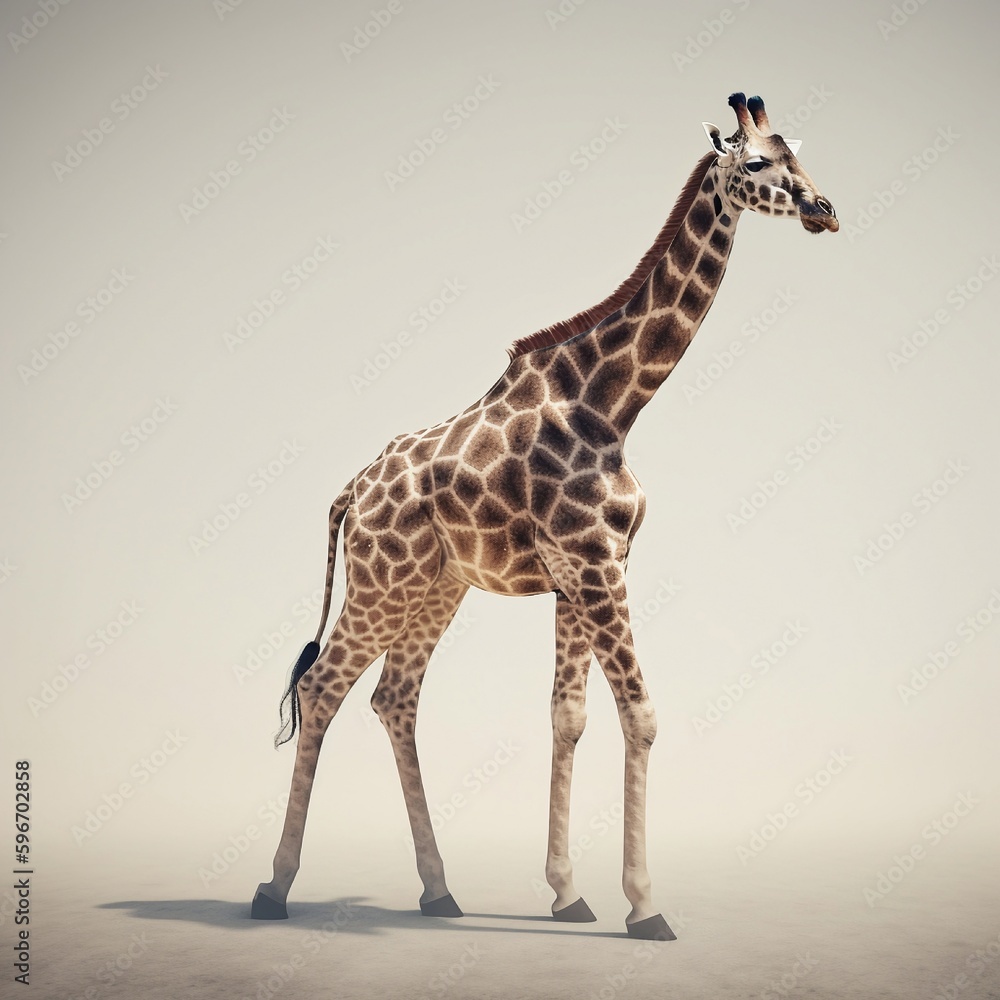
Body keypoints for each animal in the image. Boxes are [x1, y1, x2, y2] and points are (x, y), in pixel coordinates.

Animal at [251, 92, 838, 940]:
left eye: (800, 154)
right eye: (757, 162)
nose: (826, 211)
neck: (613, 403)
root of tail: (350, 493)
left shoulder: (586, 571)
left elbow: (569, 715)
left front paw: (568, 894)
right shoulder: (592, 564)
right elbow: (640, 713)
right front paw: (646, 906)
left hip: (436, 588)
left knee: (394, 697)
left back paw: (439, 890)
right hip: (379, 584)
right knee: (323, 686)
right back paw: (273, 888)